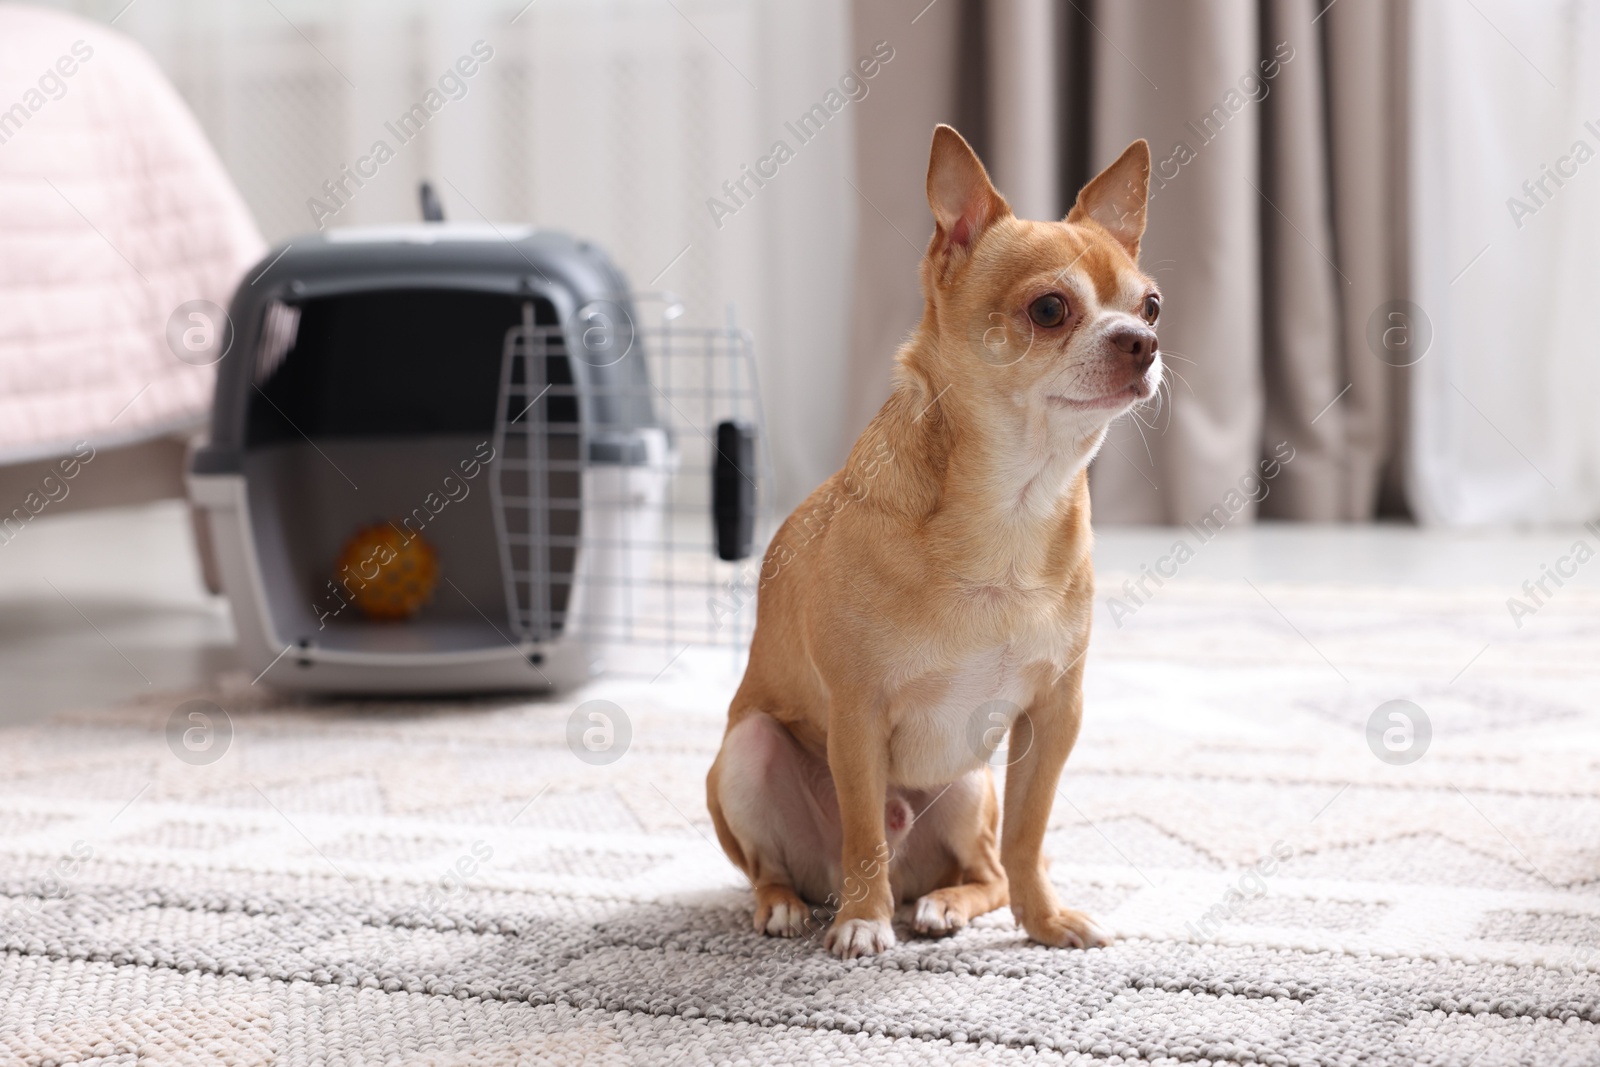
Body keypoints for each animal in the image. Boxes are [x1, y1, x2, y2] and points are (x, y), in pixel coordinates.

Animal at [707, 123, 1158, 959]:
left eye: (1151, 304)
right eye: (1050, 308)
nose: (1142, 340)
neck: (1012, 503)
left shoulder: (1054, 716)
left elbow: (1028, 836)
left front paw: (1046, 921)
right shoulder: (858, 714)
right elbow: (863, 829)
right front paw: (864, 921)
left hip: (970, 787)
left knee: (988, 867)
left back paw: (946, 902)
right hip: (747, 753)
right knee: (781, 863)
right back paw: (793, 905)